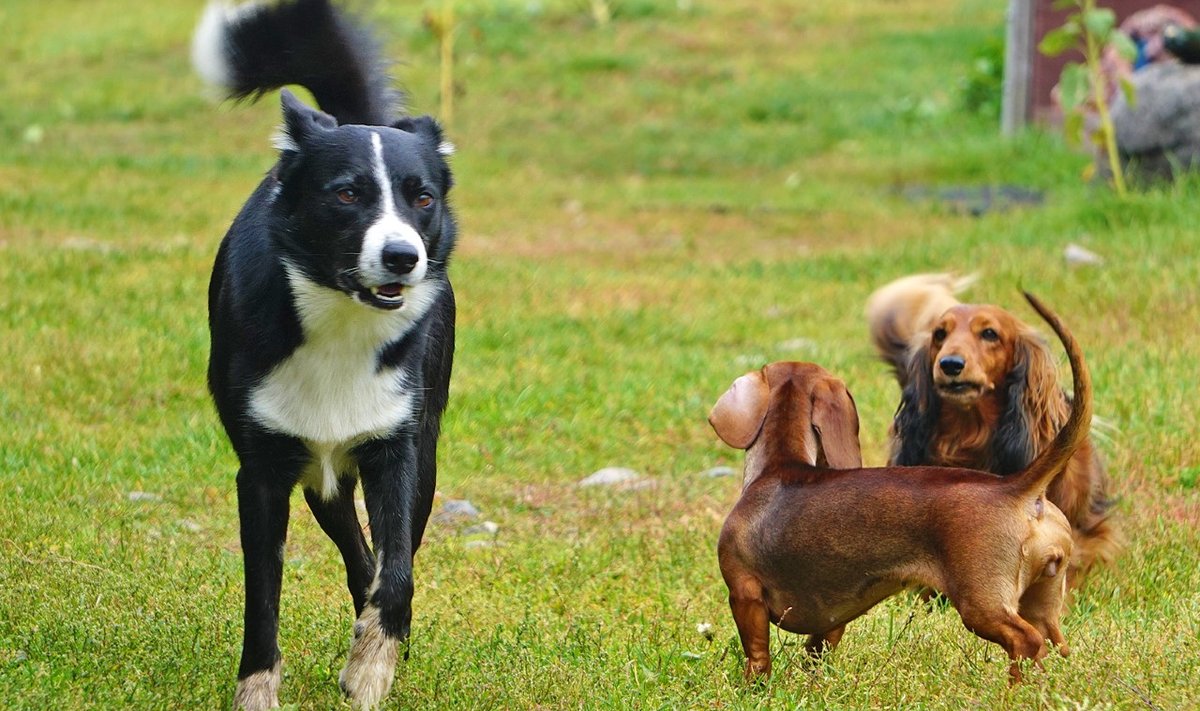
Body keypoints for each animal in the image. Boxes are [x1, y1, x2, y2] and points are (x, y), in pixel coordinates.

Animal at [192, 2, 453, 706]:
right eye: (347, 193)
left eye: (422, 197)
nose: (403, 257)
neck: (342, 322)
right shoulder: (262, 471)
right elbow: (263, 597)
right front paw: (256, 691)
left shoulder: (398, 448)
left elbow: (398, 573)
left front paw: (371, 668)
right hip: (319, 471)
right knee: (355, 549)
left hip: (416, 445)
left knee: (387, 560)